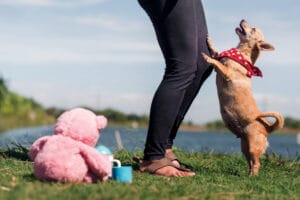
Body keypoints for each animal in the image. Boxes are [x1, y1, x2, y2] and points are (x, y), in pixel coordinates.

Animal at [202, 19, 284, 175]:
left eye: (253, 29)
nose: (243, 19)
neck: (241, 52)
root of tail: (268, 128)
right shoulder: (221, 61)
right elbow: (216, 53)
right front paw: (209, 42)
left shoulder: (226, 72)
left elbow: (216, 62)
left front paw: (207, 57)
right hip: (244, 147)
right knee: (251, 162)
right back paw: (247, 174)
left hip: (252, 146)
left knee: (257, 163)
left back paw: (253, 176)